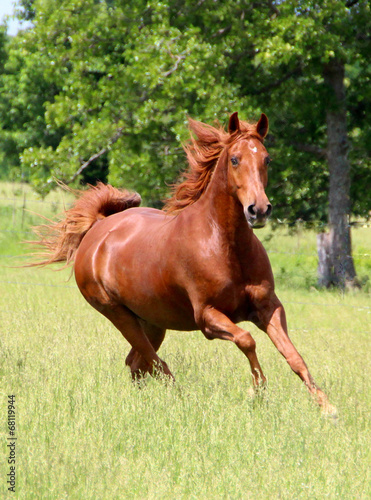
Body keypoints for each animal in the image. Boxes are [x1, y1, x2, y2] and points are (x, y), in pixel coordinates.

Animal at [32, 113, 338, 414]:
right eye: (234, 159)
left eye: (267, 158)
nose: (259, 210)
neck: (225, 246)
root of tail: (97, 228)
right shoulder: (207, 316)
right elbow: (246, 339)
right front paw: (257, 391)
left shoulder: (269, 307)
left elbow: (294, 356)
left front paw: (326, 407)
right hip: (118, 315)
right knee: (156, 365)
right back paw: (182, 401)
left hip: (152, 321)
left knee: (138, 363)